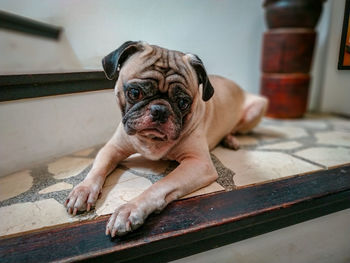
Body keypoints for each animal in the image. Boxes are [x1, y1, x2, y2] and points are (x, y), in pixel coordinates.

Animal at [65, 40, 268, 237]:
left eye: (183, 103)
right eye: (134, 93)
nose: (160, 109)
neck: (152, 140)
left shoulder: (198, 163)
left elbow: (159, 185)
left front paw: (130, 209)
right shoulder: (112, 149)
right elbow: (97, 170)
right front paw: (83, 190)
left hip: (256, 110)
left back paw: (231, 140)